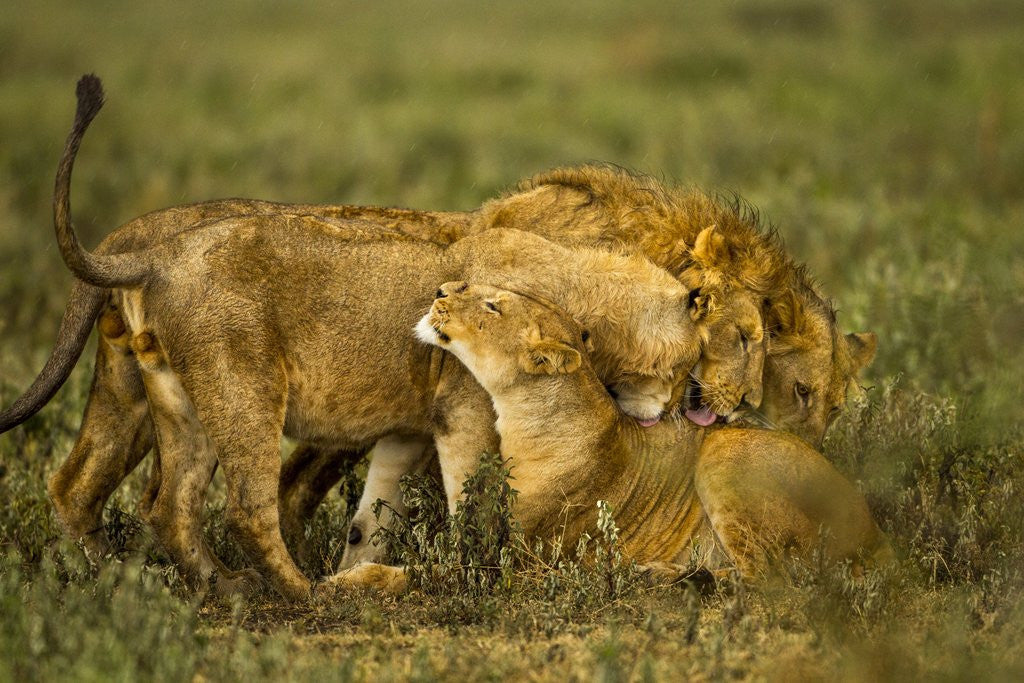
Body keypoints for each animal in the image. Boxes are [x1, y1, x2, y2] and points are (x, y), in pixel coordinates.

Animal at [334, 282, 889, 593]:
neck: (523, 417)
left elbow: (426, 574)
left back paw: (667, 578)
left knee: (772, 582)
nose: (441, 291)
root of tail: (876, 538)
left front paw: (348, 580)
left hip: (725, 455)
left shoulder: (517, 563)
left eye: (492, 306)